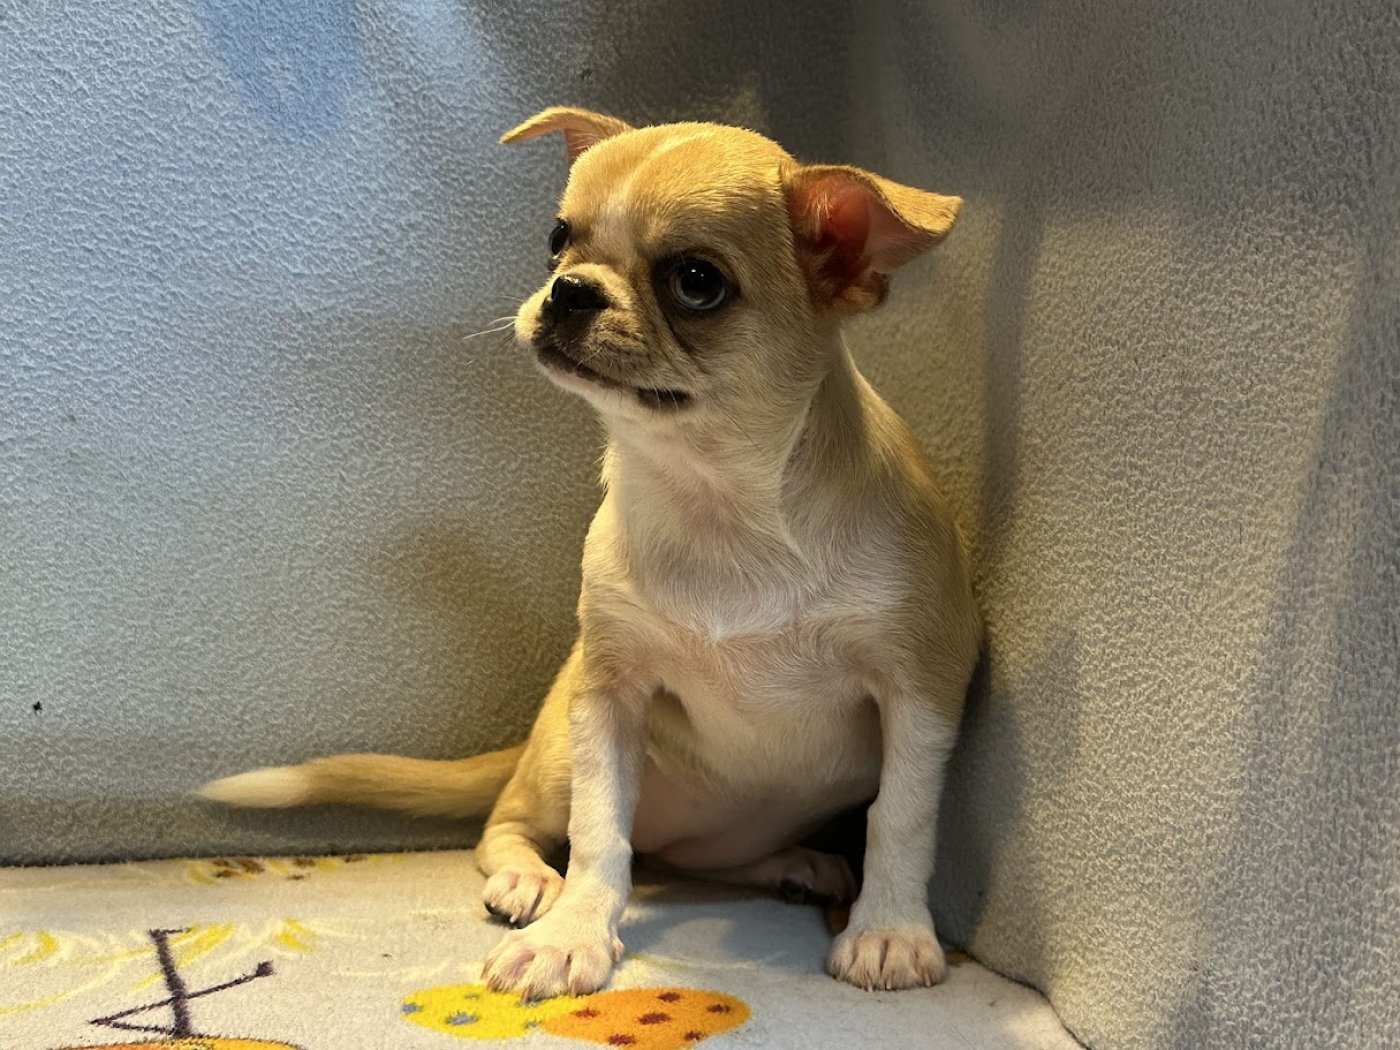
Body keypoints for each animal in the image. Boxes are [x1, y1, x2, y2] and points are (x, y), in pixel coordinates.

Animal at [200, 107, 981, 1001]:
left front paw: (888, 931)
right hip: (556, 762)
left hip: (721, 822)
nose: (569, 288)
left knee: (694, 859)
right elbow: (603, 834)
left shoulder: (919, 693)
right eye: (556, 240)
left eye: (696, 281)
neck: (718, 501)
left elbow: (901, 818)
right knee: (515, 827)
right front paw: (572, 935)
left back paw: (799, 864)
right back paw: (530, 879)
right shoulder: (610, 699)